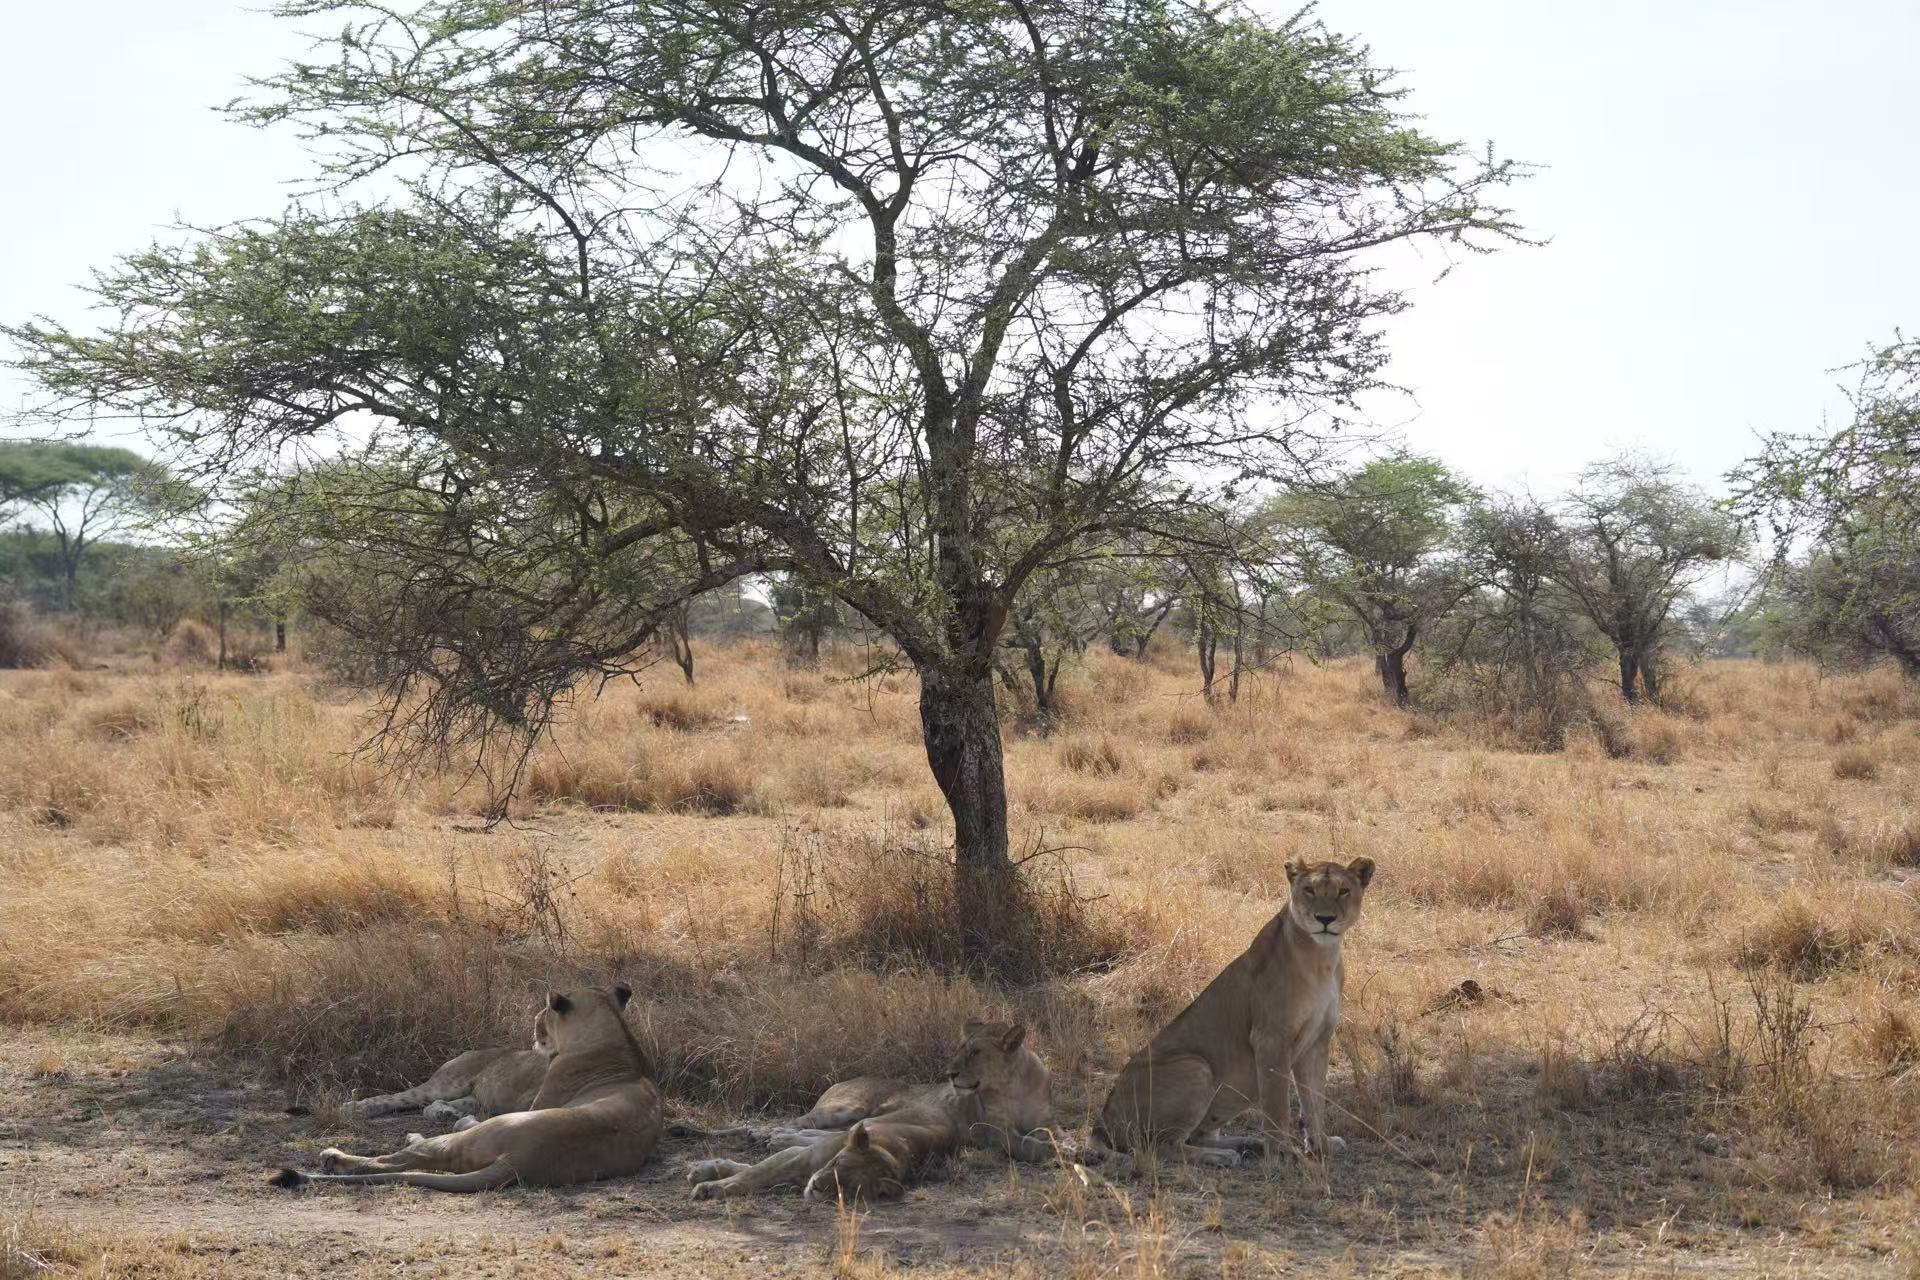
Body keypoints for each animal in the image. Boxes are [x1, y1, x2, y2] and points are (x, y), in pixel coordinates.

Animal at [270, 984, 661, 1193]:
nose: (533, 1032)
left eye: (541, 1017)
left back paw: (340, 1153)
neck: (616, 1038)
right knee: (416, 1107)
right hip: (453, 1086)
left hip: (477, 1126)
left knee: (404, 1154)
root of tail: (520, 1161)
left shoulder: (536, 1102)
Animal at [685, 1018, 1053, 1202]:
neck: (1014, 1085)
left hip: (854, 1120)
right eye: (962, 1049)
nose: (949, 1074)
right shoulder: (986, 1128)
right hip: (845, 1107)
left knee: (809, 1136)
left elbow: (1044, 1133)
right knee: (795, 1125)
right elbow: (1023, 1142)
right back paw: (763, 1136)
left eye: (976, 1052)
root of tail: (848, 1078)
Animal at [1090, 857, 1375, 1168]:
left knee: (1198, 1136)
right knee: (1160, 1147)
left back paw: (1247, 1144)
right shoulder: (1271, 1038)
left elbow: (1314, 1101)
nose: (1325, 919)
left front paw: (1321, 1144)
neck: (1322, 957)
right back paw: (1222, 1156)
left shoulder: (1317, 1042)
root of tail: (1101, 1121)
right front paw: (1285, 1153)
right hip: (1195, 1065)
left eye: (1343, 891)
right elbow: (1277, 1105)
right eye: (1309, 890)